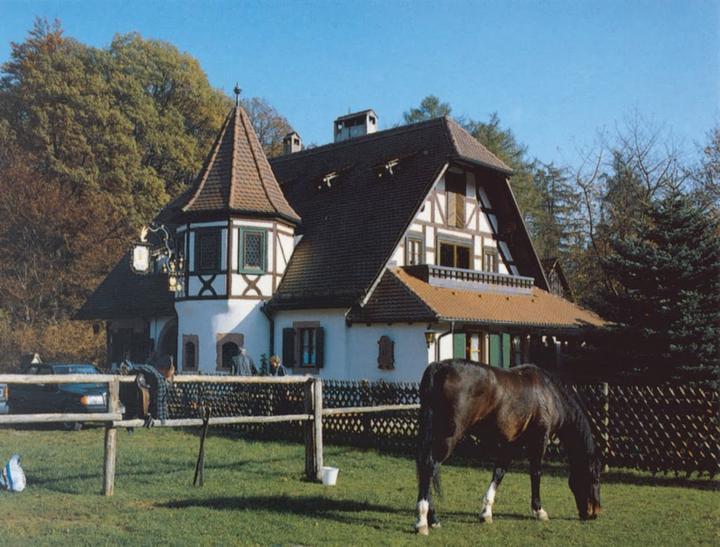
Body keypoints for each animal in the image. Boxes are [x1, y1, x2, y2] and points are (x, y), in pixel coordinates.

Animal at [414, 360, 600, 536]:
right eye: (594, 478)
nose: (594, 513)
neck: (549, 394)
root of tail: (439, 367)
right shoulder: (539, 440)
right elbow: (536, 473)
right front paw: (539, 511)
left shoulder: (511, 445)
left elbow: (499, 473)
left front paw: (486, 513)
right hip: (448, 438)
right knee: (429, 466)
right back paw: (423, 522)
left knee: (426, 467)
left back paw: (432, 519)